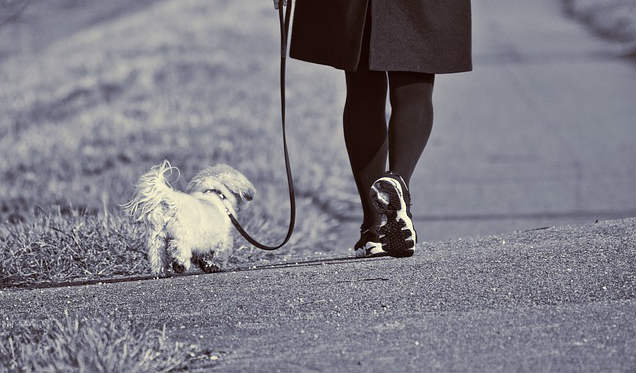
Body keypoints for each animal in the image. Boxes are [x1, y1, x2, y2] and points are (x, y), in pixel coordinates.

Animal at [123, 159, 255, 274]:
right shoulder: (222, 239)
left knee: (157, 255)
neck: (216, 193)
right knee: (179, 248)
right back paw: (180, 265)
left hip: (157, 239)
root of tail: (171, 203)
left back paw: (160, 271)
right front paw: (214, 265)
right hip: (182, 235)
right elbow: (219, 254)